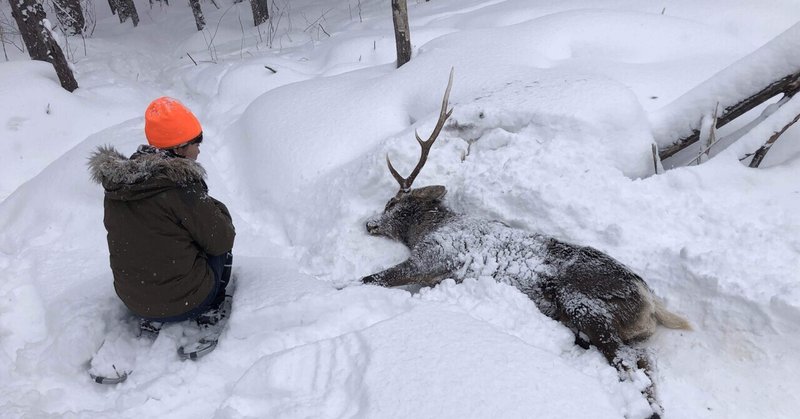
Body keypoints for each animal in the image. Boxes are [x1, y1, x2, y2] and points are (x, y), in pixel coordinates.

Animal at [360, 69, 688, 419]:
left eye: (391, 203)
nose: (369, 223)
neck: (428, 228)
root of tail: (649, 300)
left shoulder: (433, 258)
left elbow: (372, 278)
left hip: (584, 306)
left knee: (630, 363)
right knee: (643, 360)